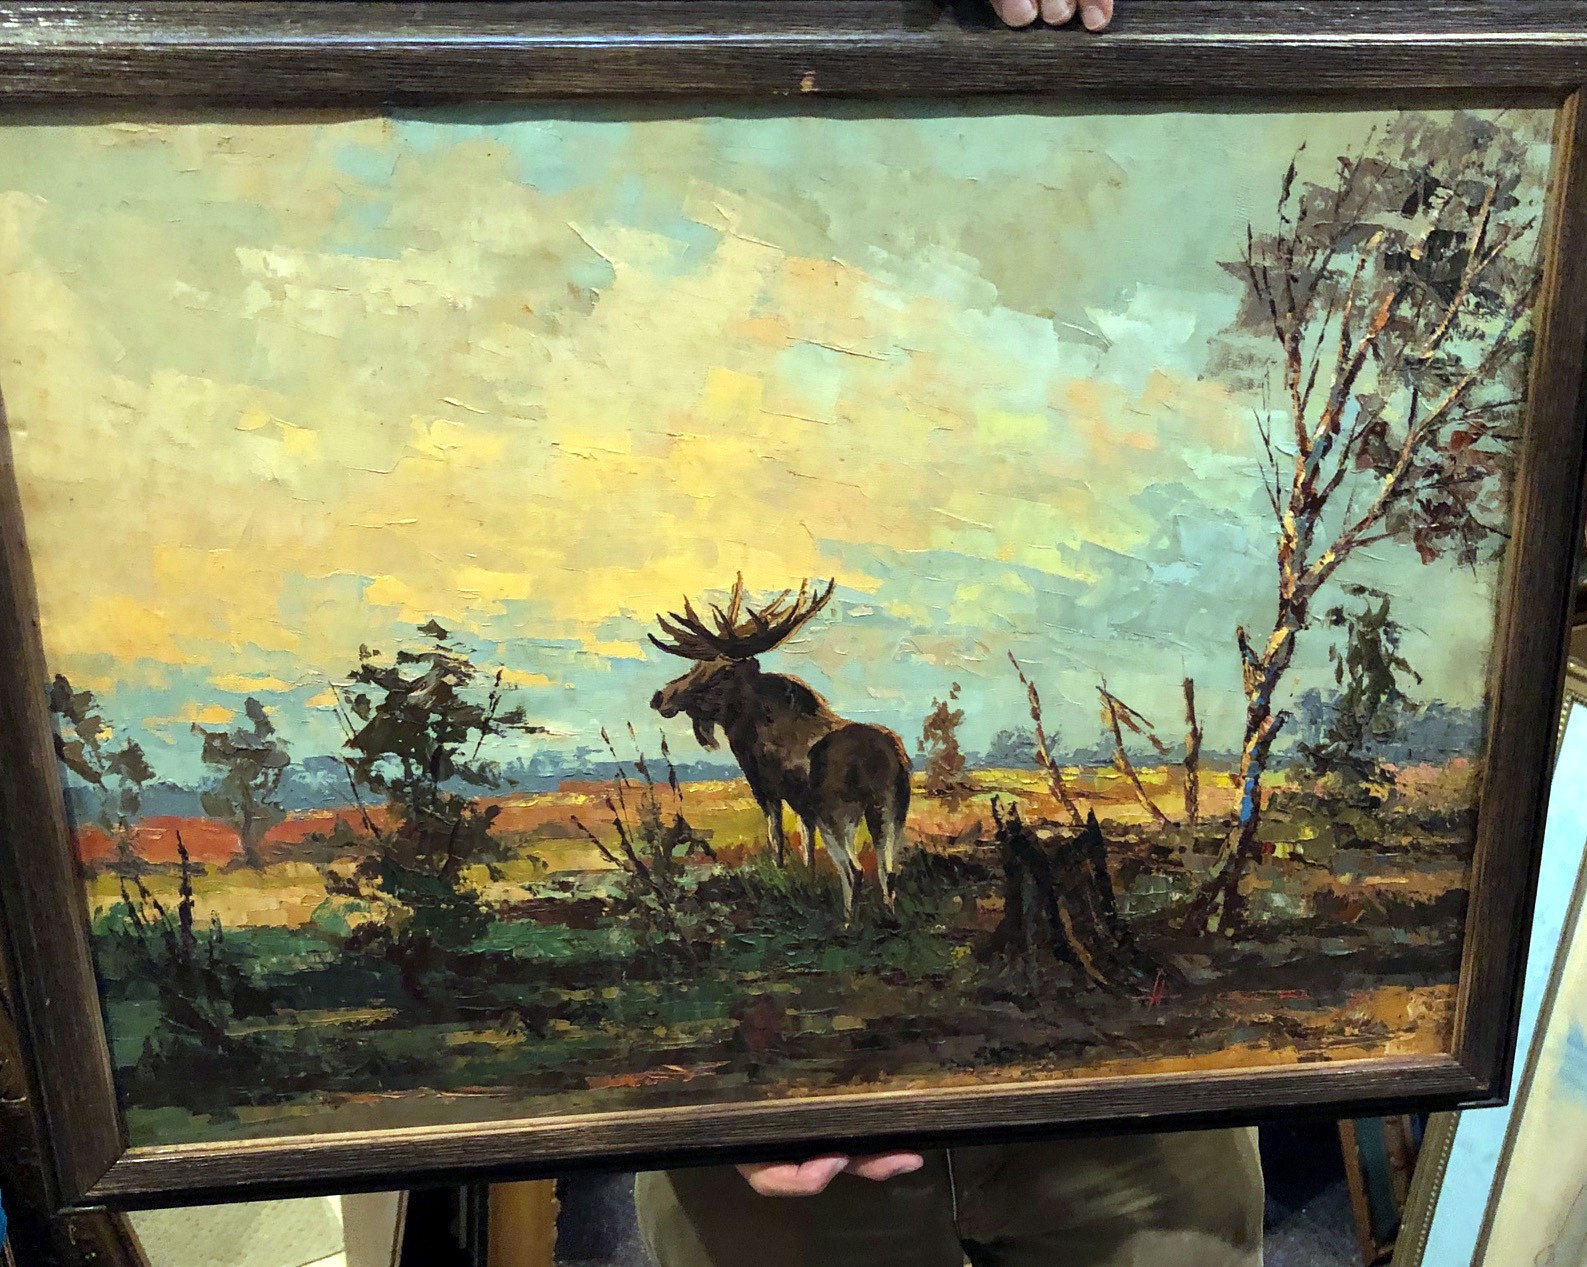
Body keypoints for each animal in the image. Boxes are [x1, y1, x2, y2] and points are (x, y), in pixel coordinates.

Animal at [648, 577, 911, 915]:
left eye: (719, 671)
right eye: (696, 665)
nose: (660, 697)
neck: (749, 730)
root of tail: (884, 759)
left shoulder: (766, 790)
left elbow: (778, 844)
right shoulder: (803, 807)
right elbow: (807, 850)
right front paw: (809, 884)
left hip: (839, 812)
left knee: (854, 871)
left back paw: (847, 921)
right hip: (891, 808)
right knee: (889, 871)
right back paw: (888, 917)